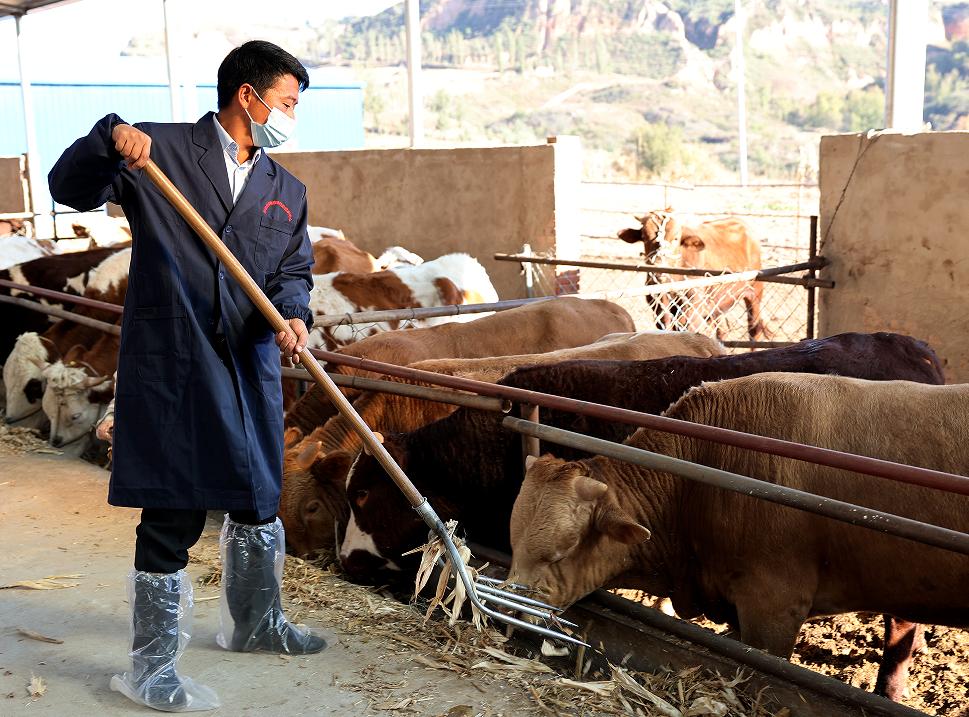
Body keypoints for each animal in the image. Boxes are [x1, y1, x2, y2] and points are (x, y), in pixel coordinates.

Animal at [616, 208, 768, 340]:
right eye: (643, 236)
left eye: (676, 238)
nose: (658, 266)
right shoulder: (659, 309)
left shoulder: (693, 309)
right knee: (722, 331)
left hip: (755, 292)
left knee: (754, 329)